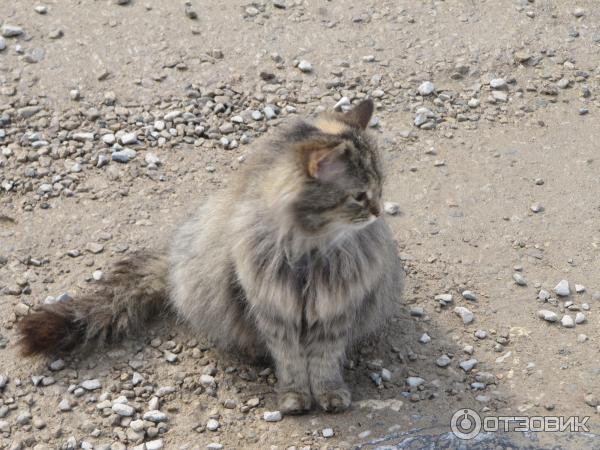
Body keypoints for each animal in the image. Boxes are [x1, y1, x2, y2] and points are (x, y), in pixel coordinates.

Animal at [17, 99, 404, 414]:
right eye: (359, 196)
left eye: (380, 188)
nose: (378, 211)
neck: (310, 251)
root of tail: (174, 259)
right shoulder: (273, 311)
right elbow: (292, 362)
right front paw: (295, 397)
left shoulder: (334, 312)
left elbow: (324, 362)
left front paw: (329, 394)